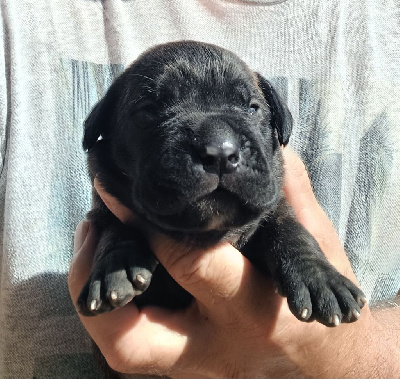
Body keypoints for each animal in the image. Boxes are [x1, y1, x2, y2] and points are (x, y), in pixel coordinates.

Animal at [78, 40, 366, 332]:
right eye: (148, 109)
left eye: (252, 109)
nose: (219, 151)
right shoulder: (103, 204)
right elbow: (115, 224)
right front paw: (115, 267)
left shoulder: (274, 202)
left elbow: (288, 227)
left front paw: (320, 278)